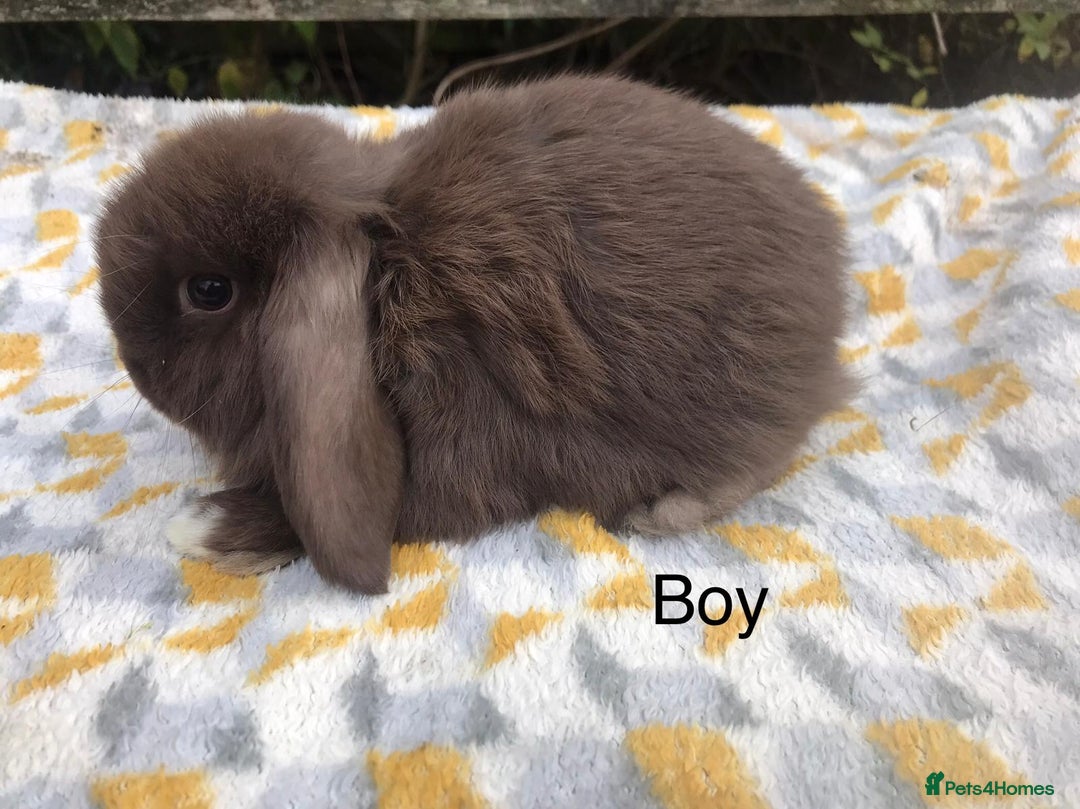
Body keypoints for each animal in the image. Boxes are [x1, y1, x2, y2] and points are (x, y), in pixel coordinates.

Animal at [94, 74, 854, 595]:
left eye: (208, 291)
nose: (135, 368)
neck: (385, 288)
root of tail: (828, 256)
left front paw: (205, 528)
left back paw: (663, 509)